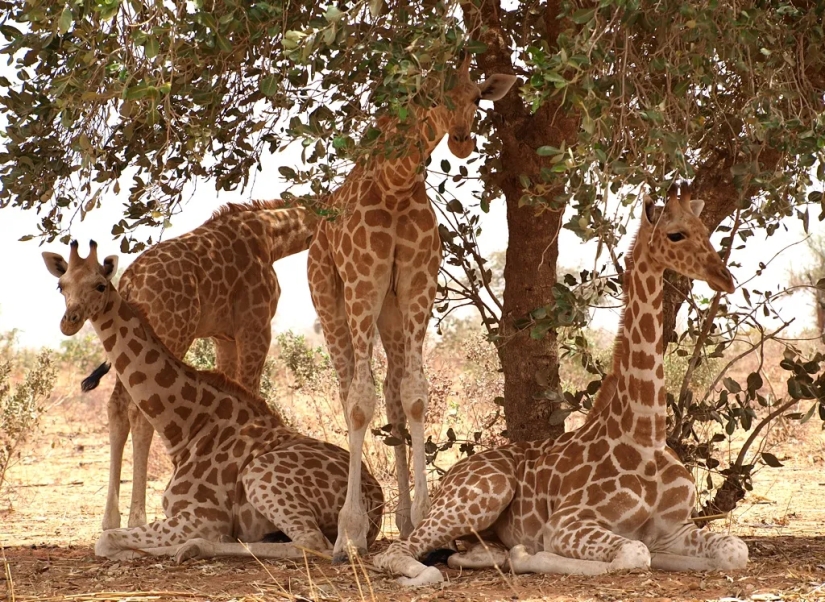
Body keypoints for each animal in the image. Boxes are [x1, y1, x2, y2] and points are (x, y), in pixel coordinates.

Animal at [41, 241, 384, 560]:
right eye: (61, 286)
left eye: (100, 285)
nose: (70, 320)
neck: (184, 430)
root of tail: (376, 502)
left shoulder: (201, 516)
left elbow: (105, 539)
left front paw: (136, 550)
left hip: (260, 476)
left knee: (312, 543)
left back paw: (190, 548)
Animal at [73, 202, 316, 528]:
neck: (271, 235)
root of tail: (129, 282)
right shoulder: (255, 327)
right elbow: (251, 391)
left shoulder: (223, 337)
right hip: (173, 330)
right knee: (139, 410)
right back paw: (138, 516)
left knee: (116, 406)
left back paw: (111, 518)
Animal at [308, 54, 516, 560]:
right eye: (433, 96)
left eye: (477, 97)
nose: (461, 139)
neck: (396, 184)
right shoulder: (362, 283)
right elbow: (359, 402)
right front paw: (350, 531)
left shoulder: (420, 284)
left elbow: (415, 394)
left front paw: (423, 519)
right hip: (330, 297)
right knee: (347, 389)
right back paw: (347, 536)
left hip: (390, 308)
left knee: (390, 390)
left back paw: (401, 520)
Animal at [374, 185, 748, 584]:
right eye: (676, 234)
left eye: (707, 231)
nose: (724, 278)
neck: (645, 435)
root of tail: (451, 475)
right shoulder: (566, 524)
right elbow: (634, 552)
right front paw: (530, 554)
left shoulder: (675, 528)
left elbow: (733, 550)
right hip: (485, 494)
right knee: (395, 551)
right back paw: (429, 573)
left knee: (468, 553)